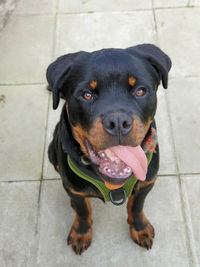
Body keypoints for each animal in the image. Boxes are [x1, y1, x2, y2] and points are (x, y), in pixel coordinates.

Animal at [46, 44, 171, 255]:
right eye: (87, 94)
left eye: (140, 91)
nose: (118, 122)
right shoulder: (75, 188)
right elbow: (83, 210)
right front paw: (81, 233)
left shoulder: (147, 182)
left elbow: (136, 205)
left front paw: (140, 228)